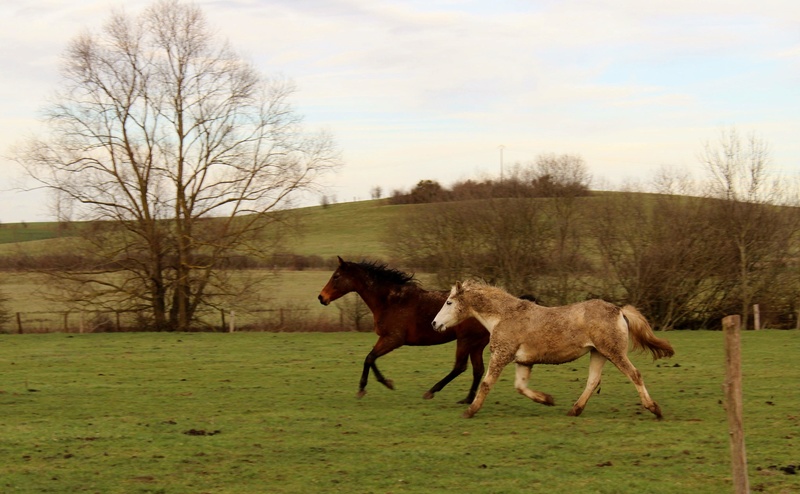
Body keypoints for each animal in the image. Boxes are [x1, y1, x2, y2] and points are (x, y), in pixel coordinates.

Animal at [318, 256, 488, 404]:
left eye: (336, 276)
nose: (321, 297)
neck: (390, 301)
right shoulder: (385, 338)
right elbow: (370, 358)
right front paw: (386, 382)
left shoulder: (394, 339)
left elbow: (370, 358)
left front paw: (365, 388)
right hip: (476, 344)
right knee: (478, 370)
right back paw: (468, 399)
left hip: (466, 340)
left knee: (460, 366)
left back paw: (432, 391)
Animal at [432, 280, 676, 418]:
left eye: (449, 303)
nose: (435, 324)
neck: (504, 316)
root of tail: (619, 310)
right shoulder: (524, 361)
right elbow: (520, 387)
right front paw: (547, 400)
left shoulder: (501, 355)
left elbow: (486, 384)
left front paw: (469, 411)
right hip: (598, 353)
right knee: (593, 381)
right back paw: (574, 410)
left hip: (613, 352)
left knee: (634, 374)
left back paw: (654, 409)